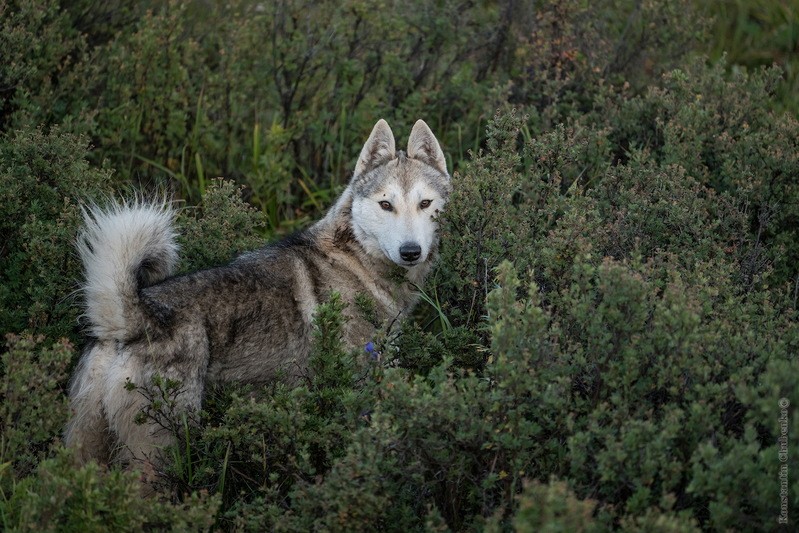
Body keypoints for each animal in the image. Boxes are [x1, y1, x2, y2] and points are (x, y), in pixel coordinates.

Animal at [65, 119, 454, 466]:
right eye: (386, 205)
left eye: (424, 204)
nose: (410, 251)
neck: (355, 259)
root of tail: (131, 317)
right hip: (160, 454)